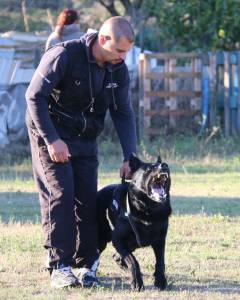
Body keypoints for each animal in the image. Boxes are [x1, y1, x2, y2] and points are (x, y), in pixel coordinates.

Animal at [96, 154, 172, 290]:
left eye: (164, 165)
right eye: (149, 169)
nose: (164, 165)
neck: (149, 211)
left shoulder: (160, 239)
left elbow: (160, 261)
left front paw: (160, 281)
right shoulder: (118, 240)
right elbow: (132, 260)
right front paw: (137, 282)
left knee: (118, 256)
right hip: (101, 241)